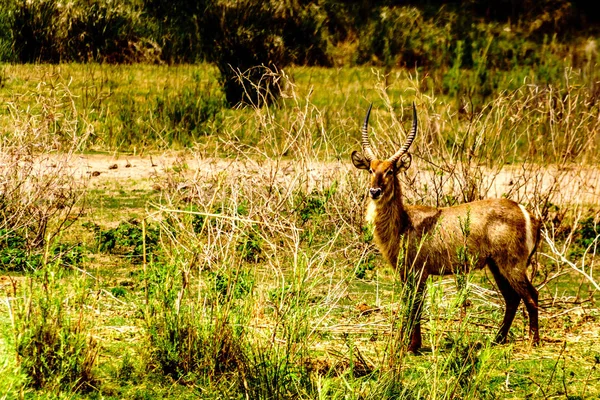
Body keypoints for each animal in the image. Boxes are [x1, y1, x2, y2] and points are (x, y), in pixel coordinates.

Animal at [350, 103, 540, 354]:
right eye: (371, 170)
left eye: (390, 170)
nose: (374, 191)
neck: (404, 223)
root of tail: (526, 212)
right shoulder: (405, 273)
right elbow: (408, 304)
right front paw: (403, 342)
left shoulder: (419, 271)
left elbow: (416, 306)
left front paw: (412, 345)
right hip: (496, 265)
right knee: (512, 298)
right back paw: (497, 339)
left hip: (512, 264)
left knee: (531, 295)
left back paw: (534, 342)